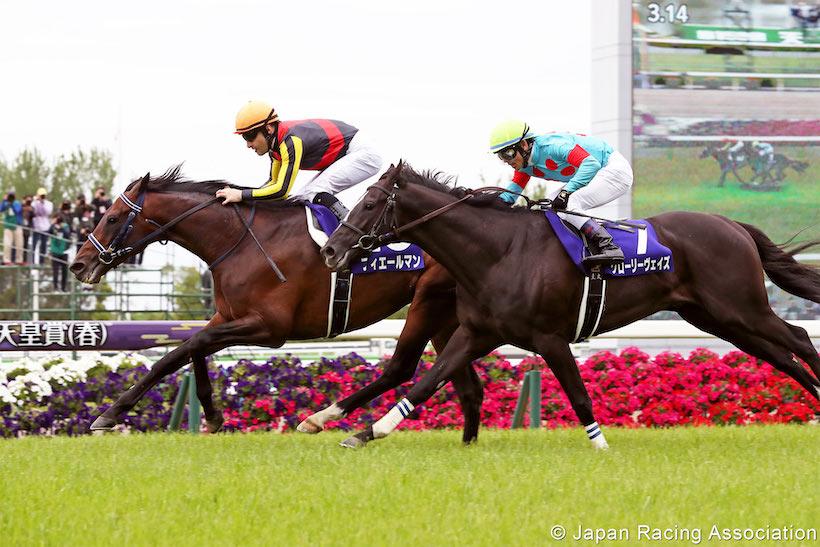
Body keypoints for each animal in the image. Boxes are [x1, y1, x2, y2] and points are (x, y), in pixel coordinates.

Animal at [70, 166, 489, 445]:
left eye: (112, 217)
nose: (79, 264)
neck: (237, 240)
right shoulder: (226, 316)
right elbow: (185, 352)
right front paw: (211, 414)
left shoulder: (270, 327)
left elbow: (186, 348)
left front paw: (110, 415)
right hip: (448, 316)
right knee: (467, 383)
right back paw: (466, 444)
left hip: (428, 303)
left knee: (405, 366)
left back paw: (323, 420)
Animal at [320, 162, 820, 449]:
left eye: (368, 204)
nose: (330, 251)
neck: (500, 251)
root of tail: (733, 225)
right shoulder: (477, 333)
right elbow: (428, 382)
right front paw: (364, 432)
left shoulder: (550, 337)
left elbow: (579, 397)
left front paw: (602, 449)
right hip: (720, 318)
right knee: (782, 357)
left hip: (742, 307)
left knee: (798, 339)